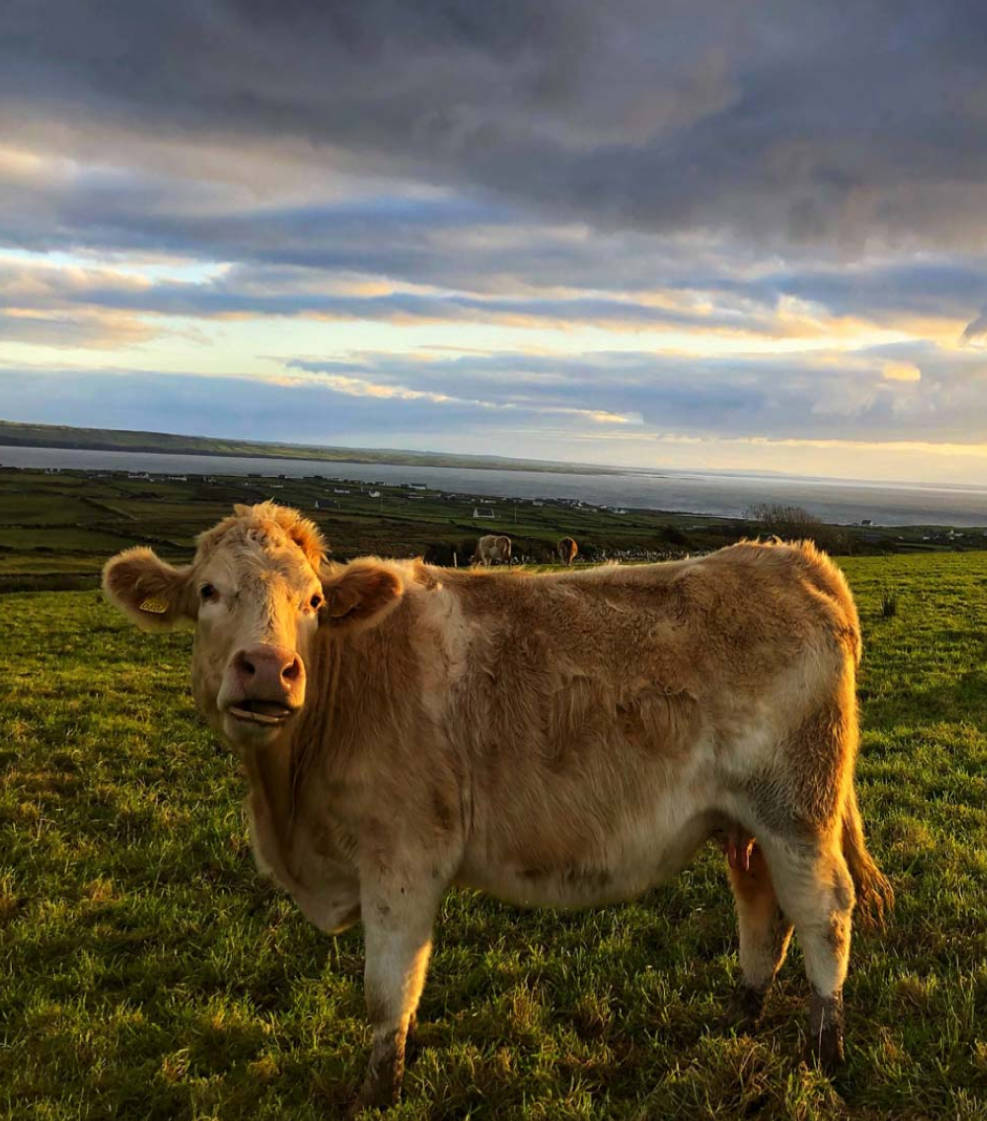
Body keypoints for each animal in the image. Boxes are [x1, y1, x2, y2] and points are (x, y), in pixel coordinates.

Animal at [102, 502, 891, 1112]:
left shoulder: (403, 859)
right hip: (746, 822)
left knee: (824, 911)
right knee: (761, 911)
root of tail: (791, 555)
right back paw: (741, 1014)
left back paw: (823, 1049)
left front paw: (377, 1094)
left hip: (799, 811)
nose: (268, 669)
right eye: (209, 591)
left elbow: (388, 991)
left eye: (314, 603)